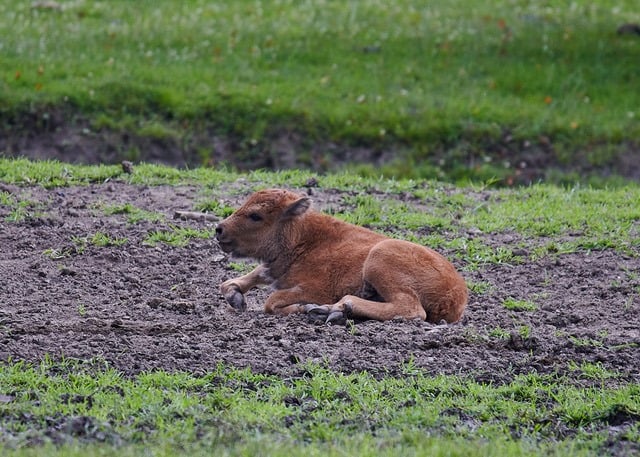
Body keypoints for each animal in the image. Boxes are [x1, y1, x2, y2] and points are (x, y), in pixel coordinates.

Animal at [215, 187, 464, 322]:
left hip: (379, 258)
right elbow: (238, 280)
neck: (304, 237)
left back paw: (332, 310)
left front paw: (304, 308)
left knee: (411, 308)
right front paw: (236, 297)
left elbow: (272, 301)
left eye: (256, 216)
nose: (219, 229)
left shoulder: (316, 289)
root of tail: (456, 294)